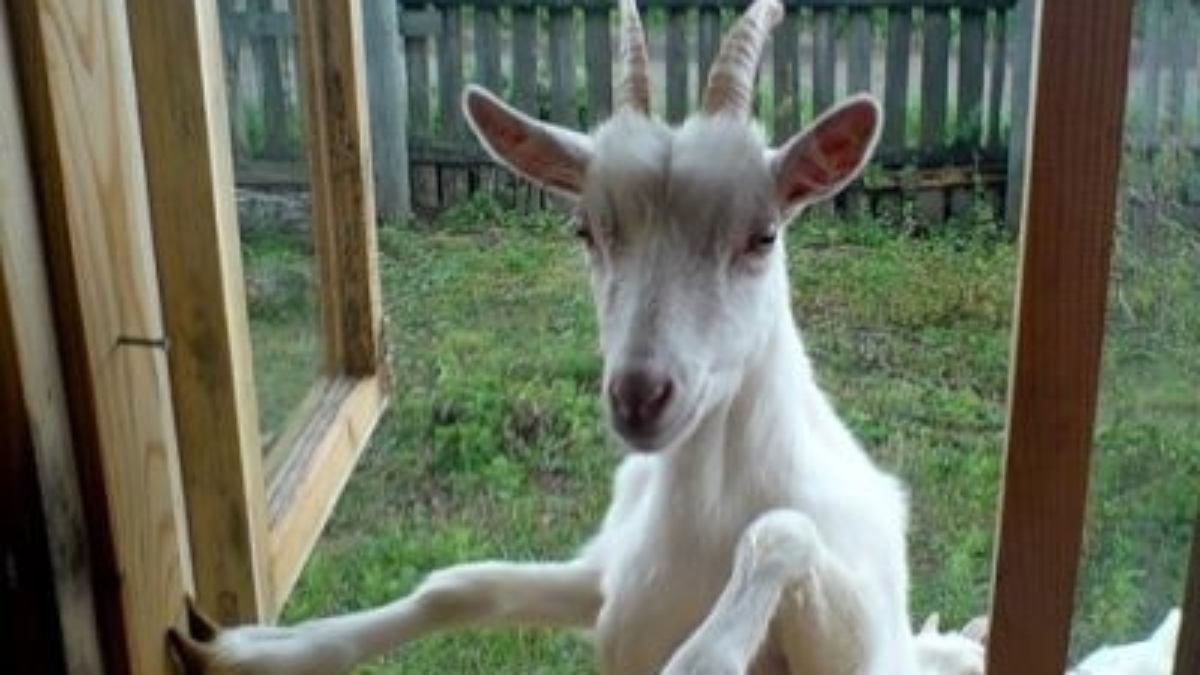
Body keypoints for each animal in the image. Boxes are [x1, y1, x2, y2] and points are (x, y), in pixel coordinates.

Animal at [171, 0, 927, 672]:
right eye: (585, 229)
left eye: (762, 235)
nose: (640, 396)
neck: (705, 517)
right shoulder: (606, 575)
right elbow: (459, 585)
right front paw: (252, 649)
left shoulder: (862, 638)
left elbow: (779, 535)